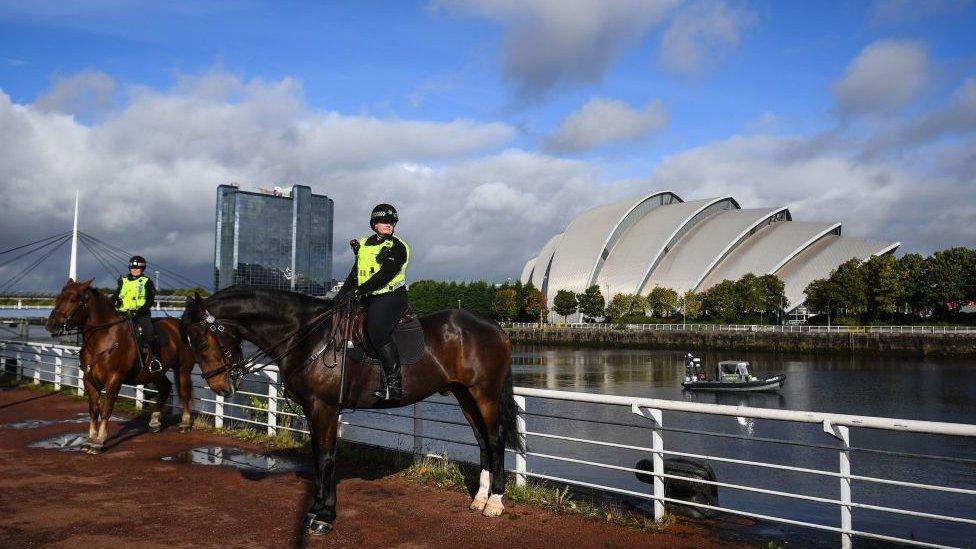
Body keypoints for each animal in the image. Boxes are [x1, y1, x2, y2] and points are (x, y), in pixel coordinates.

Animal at [45, 280, 196, 452]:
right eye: (58, 298)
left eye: (72, 299)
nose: (51, 325)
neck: (103, 340)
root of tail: (178, 323)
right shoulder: (88, 380)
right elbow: (94, 410)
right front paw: (90, 439)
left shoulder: (114, 380)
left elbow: (107, 409)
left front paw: (99, 441)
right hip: (154, 373)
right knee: (165, 387)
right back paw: (155, 421)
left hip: (183, 369)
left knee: (185, 393)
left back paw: (185, 423)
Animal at [179, 288, 524, 532]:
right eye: (190, 342)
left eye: (201, 341)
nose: (220, 386)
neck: (307, 336)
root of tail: (494, 325)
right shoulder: (312, 409)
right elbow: (317, 457)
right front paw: (315, 509)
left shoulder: (325, 407)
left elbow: (327, 458)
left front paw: (324, 516)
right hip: (464, 394)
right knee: (482, 441)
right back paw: (480, 498)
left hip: (484, 394)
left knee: (495, 440)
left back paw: (495, 502)